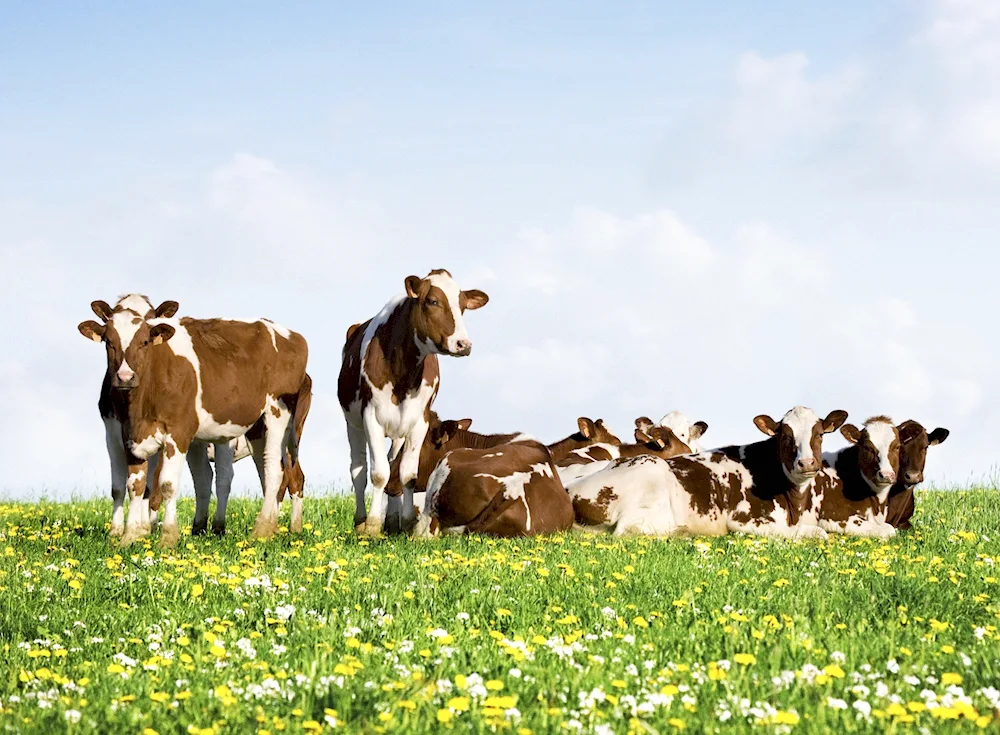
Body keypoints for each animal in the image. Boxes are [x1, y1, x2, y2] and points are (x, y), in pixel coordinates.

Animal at [80, 300, 308, 548]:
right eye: (109, 342)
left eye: (144, 342)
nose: (125, 377)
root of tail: (291, 334)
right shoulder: (127, 435)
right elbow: (135, 485)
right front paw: (129, 536)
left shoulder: (178, 432)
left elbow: (166, 485)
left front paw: (168, 537)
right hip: (257, 427)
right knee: (267, 472)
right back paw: (270, 526)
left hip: (278, 414)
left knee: (277, 470)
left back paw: (262, 530)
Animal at [338, 268, 490, 536]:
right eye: (433, 301)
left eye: (463, 305)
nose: (463, 344)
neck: (403, 374)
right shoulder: (371, 418)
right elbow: (378, 473)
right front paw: (372, 526)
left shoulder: (420, 421)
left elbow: (407, 474)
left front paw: (407, 522)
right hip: (352, 423)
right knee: (359, 471)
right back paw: (361, 521)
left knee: (392, 465)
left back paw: (392, 520)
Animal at [572, 406, 844, 536]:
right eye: (785, 436)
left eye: (820, 434)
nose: (807, 463)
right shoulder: (744, 521)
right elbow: (819, 534)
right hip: (651, 471)